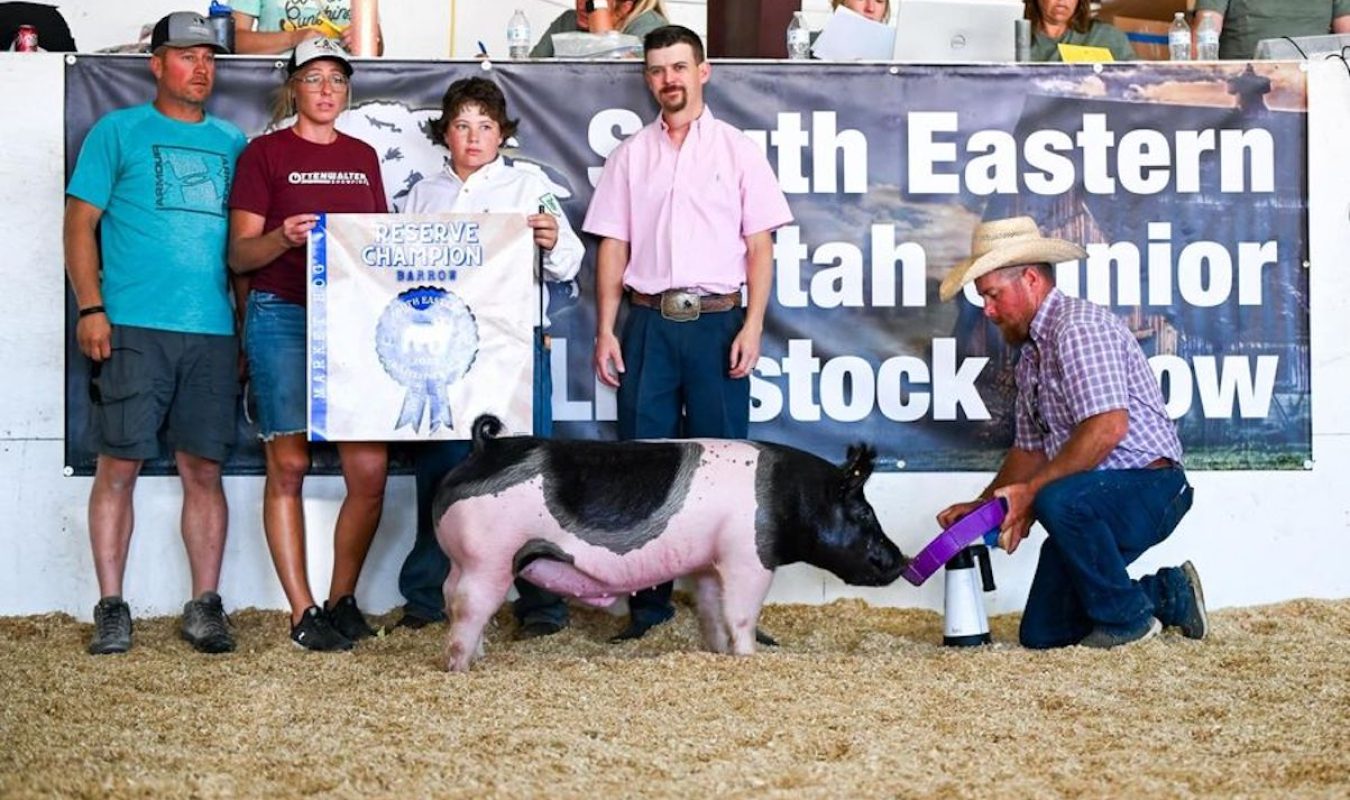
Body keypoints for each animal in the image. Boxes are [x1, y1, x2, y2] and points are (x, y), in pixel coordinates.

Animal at [437, 415, 912, 671]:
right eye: (864, 513)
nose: (902, 560)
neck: (791, 499)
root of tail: (481, 447)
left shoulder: (709, 563)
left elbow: (713, 612)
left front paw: (718, 653)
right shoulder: (747, 556)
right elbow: (742, 615)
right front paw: (748, 658)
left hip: (464, 561)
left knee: (452, 598)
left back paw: (479, 657)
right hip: (490, 558)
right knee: (468, 608)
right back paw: (461, 668)